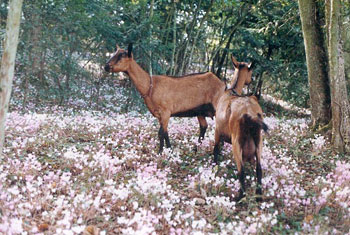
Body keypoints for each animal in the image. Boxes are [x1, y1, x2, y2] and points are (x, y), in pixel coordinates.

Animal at [213, 56, 268, 202]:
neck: (231, 91)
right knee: (259, 169)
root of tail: (250, 114)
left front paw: (214, 167)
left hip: (237, 142)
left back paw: (239, 197)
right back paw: (258, 196)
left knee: (241, 171)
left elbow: (216, 149)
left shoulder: (217, 130)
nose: (252, 79)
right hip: (259, 142)